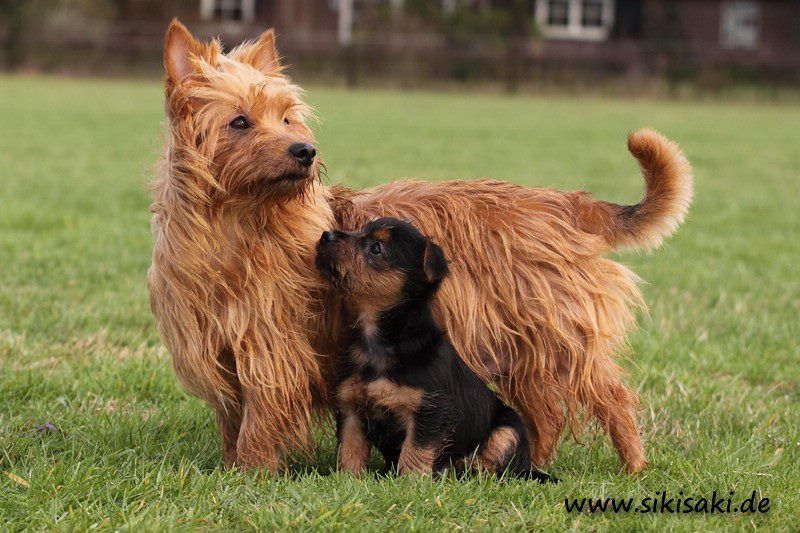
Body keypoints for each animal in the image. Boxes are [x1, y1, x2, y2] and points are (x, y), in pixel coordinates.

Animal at [316, 215, 552, 478]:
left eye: (376, 248)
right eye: (359, 230)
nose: (326, 235)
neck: (379, 342)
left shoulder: (430, 411)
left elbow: (415, 450)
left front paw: (411, 480)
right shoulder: (350, 408)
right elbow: (350, 447)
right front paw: (349, 478)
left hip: (509, 428)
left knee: (498, 462)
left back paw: (467, 469)